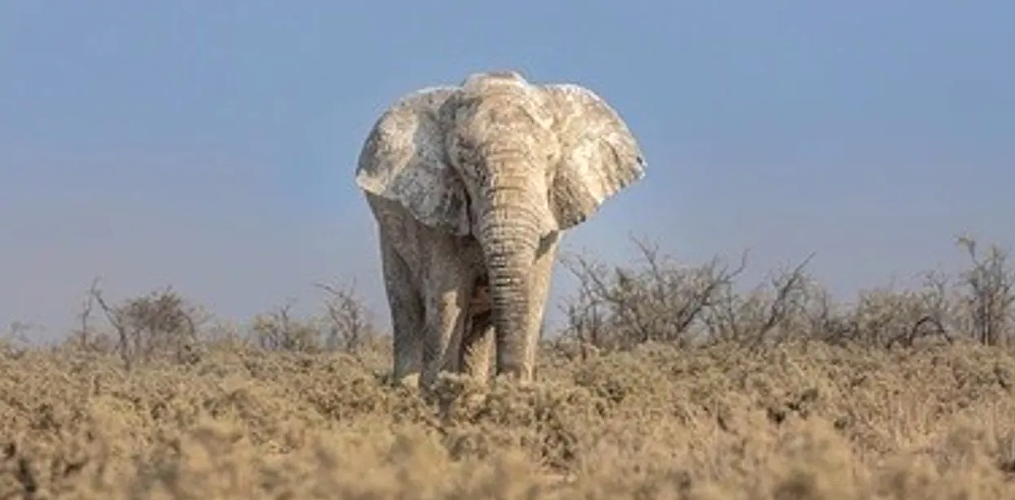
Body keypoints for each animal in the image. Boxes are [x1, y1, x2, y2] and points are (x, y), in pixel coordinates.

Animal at [354, 70, 647, 392]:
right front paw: (437, 392)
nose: (508, 380)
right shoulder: (437, 209)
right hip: (390, 239)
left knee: (478, 328)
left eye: (550, 161)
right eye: (465, 164)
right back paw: (406, 390)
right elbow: (446, 298)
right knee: (406, 309)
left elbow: (535, 293)